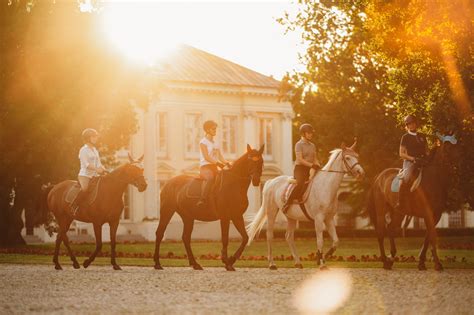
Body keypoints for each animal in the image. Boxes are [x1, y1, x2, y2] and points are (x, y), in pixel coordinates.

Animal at [246, 142, 364, 270]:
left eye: (357, 156)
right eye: (347, 158)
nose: (360, 172)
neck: (325, 187)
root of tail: (271, 181)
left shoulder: (329, 219)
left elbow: (336, 241)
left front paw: (324, 256)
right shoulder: (319, 219)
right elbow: (320, 241)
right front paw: (321, 263)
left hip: (291, 217)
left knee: (289, 236)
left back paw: (298, 262)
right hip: (272, 212)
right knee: (269, 235)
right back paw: (272, 264)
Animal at [366, 135, 460, 270]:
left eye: (457, 147)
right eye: (447, 148)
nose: (457, 164)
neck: (434, 179)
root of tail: (378, 177)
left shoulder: (435, 215)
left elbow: (427, 236)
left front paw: (421, 263)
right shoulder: (428, 214)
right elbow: (432, 236)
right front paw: (437, 264)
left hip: (398, 212)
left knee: (390, 228)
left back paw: (391, 258)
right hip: (381, 210)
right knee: (381, 233)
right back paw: (385, 261)